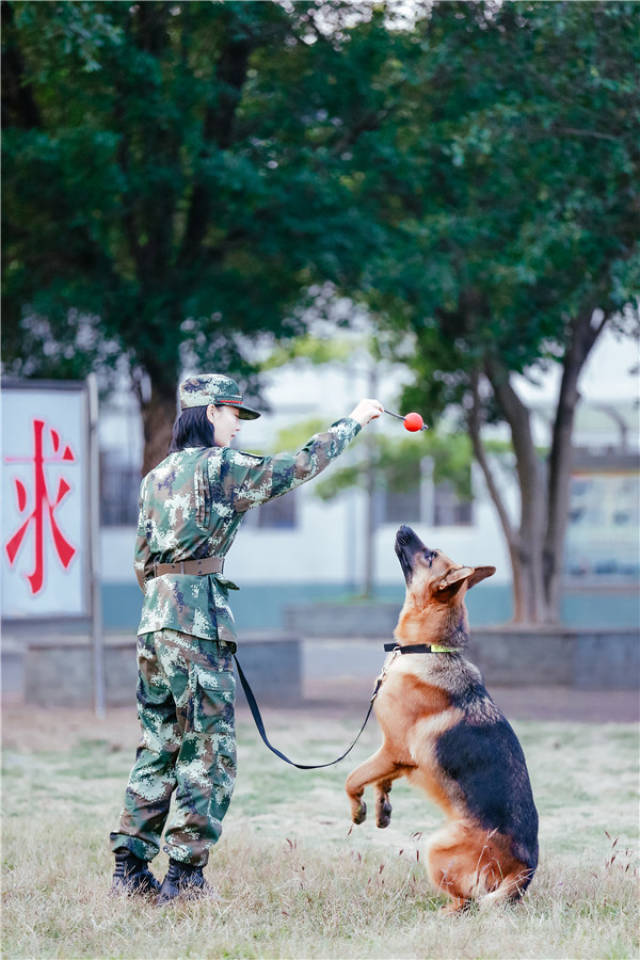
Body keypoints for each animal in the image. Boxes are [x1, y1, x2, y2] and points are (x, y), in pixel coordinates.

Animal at [348, 528, 536, 912]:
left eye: (430, 555)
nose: (403, 527)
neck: (428, 648)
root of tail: (526, 870)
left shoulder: (391, 749)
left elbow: (352, 777)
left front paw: (358, 809)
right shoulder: (398, 758)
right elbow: (380, 780)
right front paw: (381, 808)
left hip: (436, 850)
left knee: (466, 903)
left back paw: (440, 913)